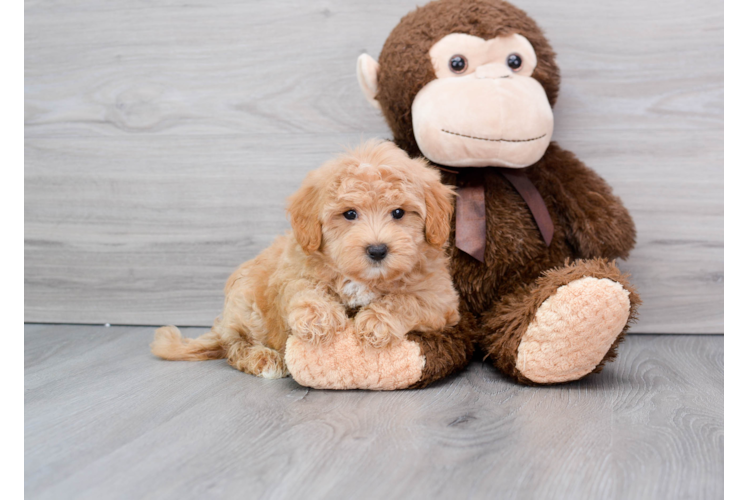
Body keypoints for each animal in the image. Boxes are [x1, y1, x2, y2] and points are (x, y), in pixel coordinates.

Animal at [149, 141, 458, 378]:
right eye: (349, 214)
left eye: (398, 213)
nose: (378, 250)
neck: (363, 278)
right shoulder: (292, 271)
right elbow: (303, 288)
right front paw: (317, 317)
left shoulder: (441, 298)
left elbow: (407, 299)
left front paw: (375, 321)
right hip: (247, 304)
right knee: (234, 346)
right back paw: (262, 359)